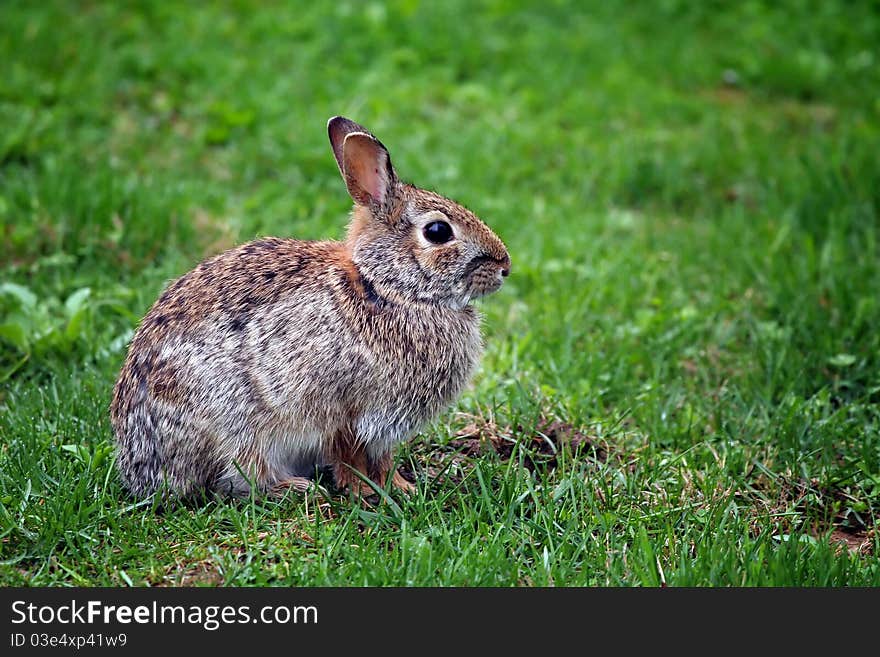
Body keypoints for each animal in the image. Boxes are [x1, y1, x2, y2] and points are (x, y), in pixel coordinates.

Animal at [109, 115, 508, 500]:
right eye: (438, 232)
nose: (505, 267)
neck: (385, 287)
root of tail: (138, 466)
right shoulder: (342, 409)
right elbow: (349, 456)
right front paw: (363, 491)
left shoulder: (381, 429)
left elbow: (382, 459)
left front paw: (401, 487)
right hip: (233, 422)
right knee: (240, 476)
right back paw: (296, 488)